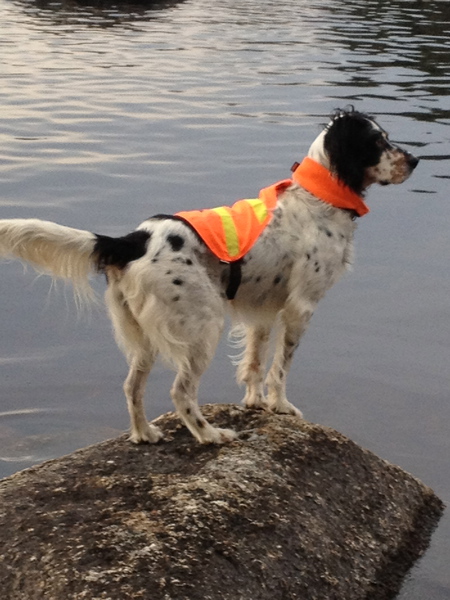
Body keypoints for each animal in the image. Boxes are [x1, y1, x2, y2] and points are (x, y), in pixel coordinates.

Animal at [0, 108, 418, 446]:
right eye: (377, 141)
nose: (415, 159)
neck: (319, 198)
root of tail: (133, 241)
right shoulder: (301, 307)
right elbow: (280, 368)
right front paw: (280, 406)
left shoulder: (262, 309)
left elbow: (254, 362)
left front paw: (255, 402)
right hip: (204, 323)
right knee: (181, 392)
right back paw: (209, 435)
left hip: (145, 335)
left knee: (132, 386)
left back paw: (144, 433)